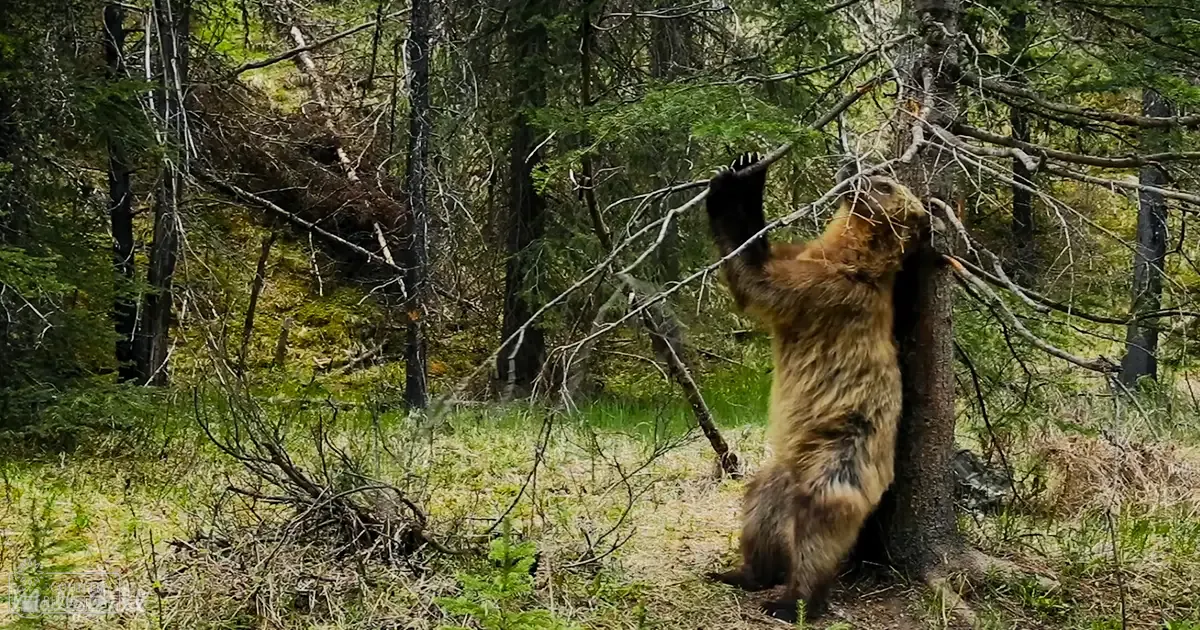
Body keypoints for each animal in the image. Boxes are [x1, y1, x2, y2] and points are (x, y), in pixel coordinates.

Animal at [704, 153, 930, 622]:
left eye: (884, 183)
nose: (854, 165)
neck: (854, 259)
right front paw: (744, 164)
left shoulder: (820, 290)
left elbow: (761, 279)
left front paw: (738, 184)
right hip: (779, 473)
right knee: (759, 507)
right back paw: (739, 573)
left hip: (839, 459)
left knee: (819, 530)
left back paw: (790, 601)